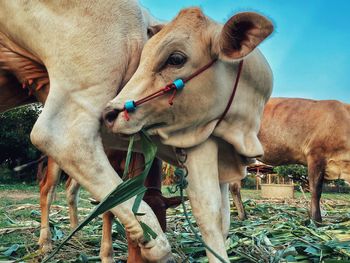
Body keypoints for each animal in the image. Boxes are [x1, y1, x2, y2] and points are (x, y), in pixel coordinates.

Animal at [103, 7, 274, 262]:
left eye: (176, 59)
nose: (109, 113)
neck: (241, 130)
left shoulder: (225, 162)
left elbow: (224, 218)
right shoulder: (199, 142)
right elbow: (208, 213)